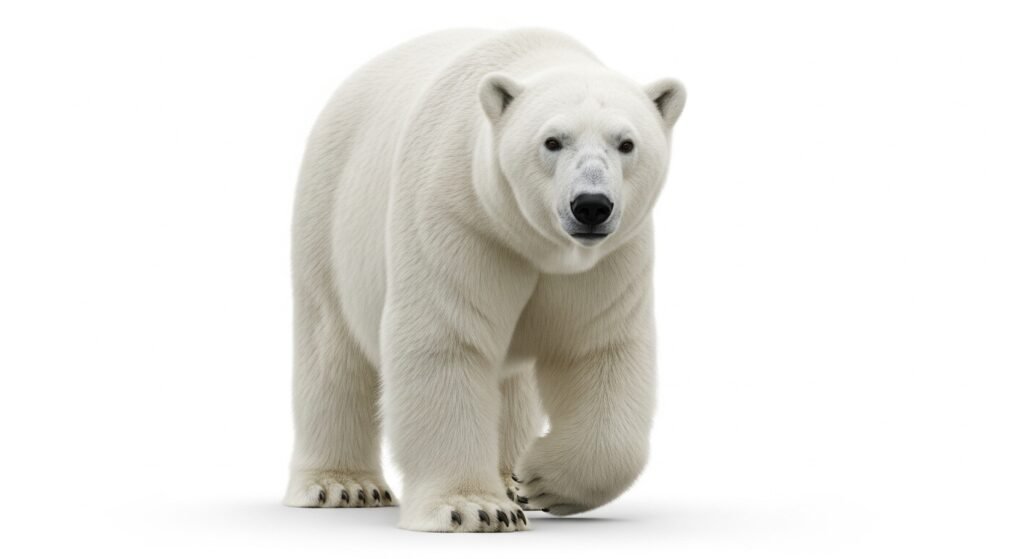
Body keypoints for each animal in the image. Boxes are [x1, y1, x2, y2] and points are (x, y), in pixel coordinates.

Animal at [284, 28, 685, 532]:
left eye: (626, 143)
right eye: (552, 141)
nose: (591, 205)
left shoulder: (607, 261)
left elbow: (598, 350)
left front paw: (539, 480)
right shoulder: (459, 218)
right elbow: (446, 340)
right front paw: (476, 508)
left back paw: (509, 478)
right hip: (330, 212)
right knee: (333, 348)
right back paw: (345, 486)